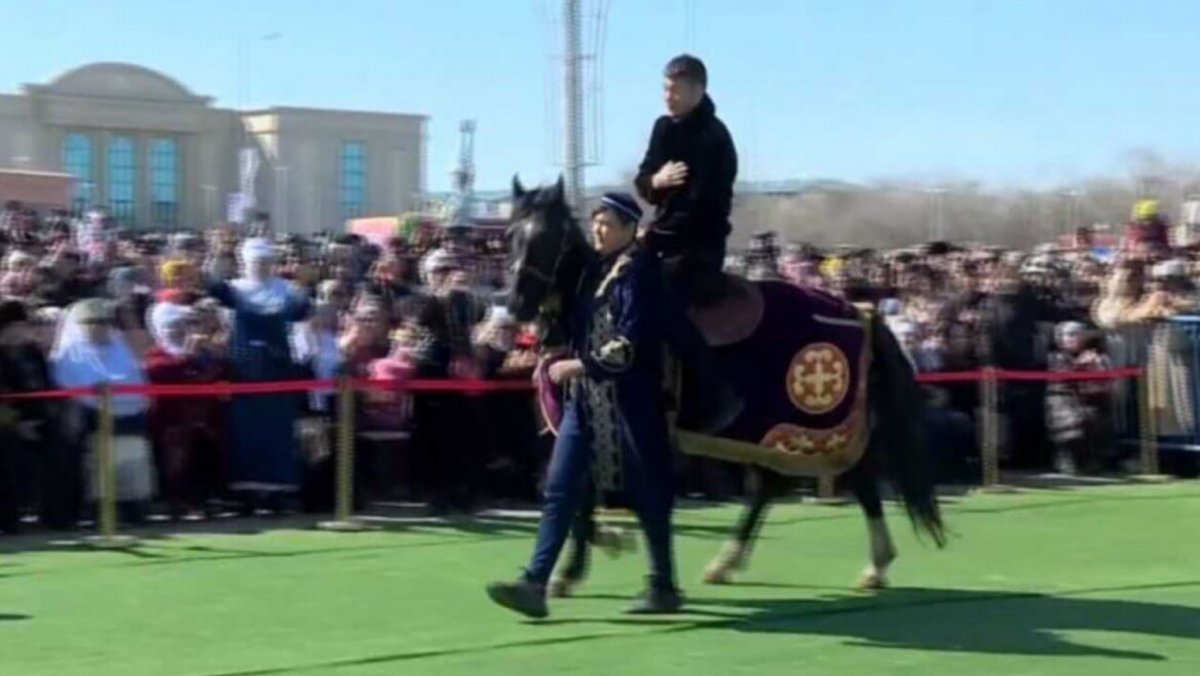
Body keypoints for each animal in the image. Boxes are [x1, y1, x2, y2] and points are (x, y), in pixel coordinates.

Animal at [506, 176, 945, 593]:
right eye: (511, 235)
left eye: (548, 236)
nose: (516, 306)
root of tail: (861, 311)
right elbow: (571, 488)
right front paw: (590, 553)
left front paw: (583, 561)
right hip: (775, 427)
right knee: (778, 484)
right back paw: (732, 562)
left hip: (812, 425)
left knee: (847, 478)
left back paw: (873, 565)